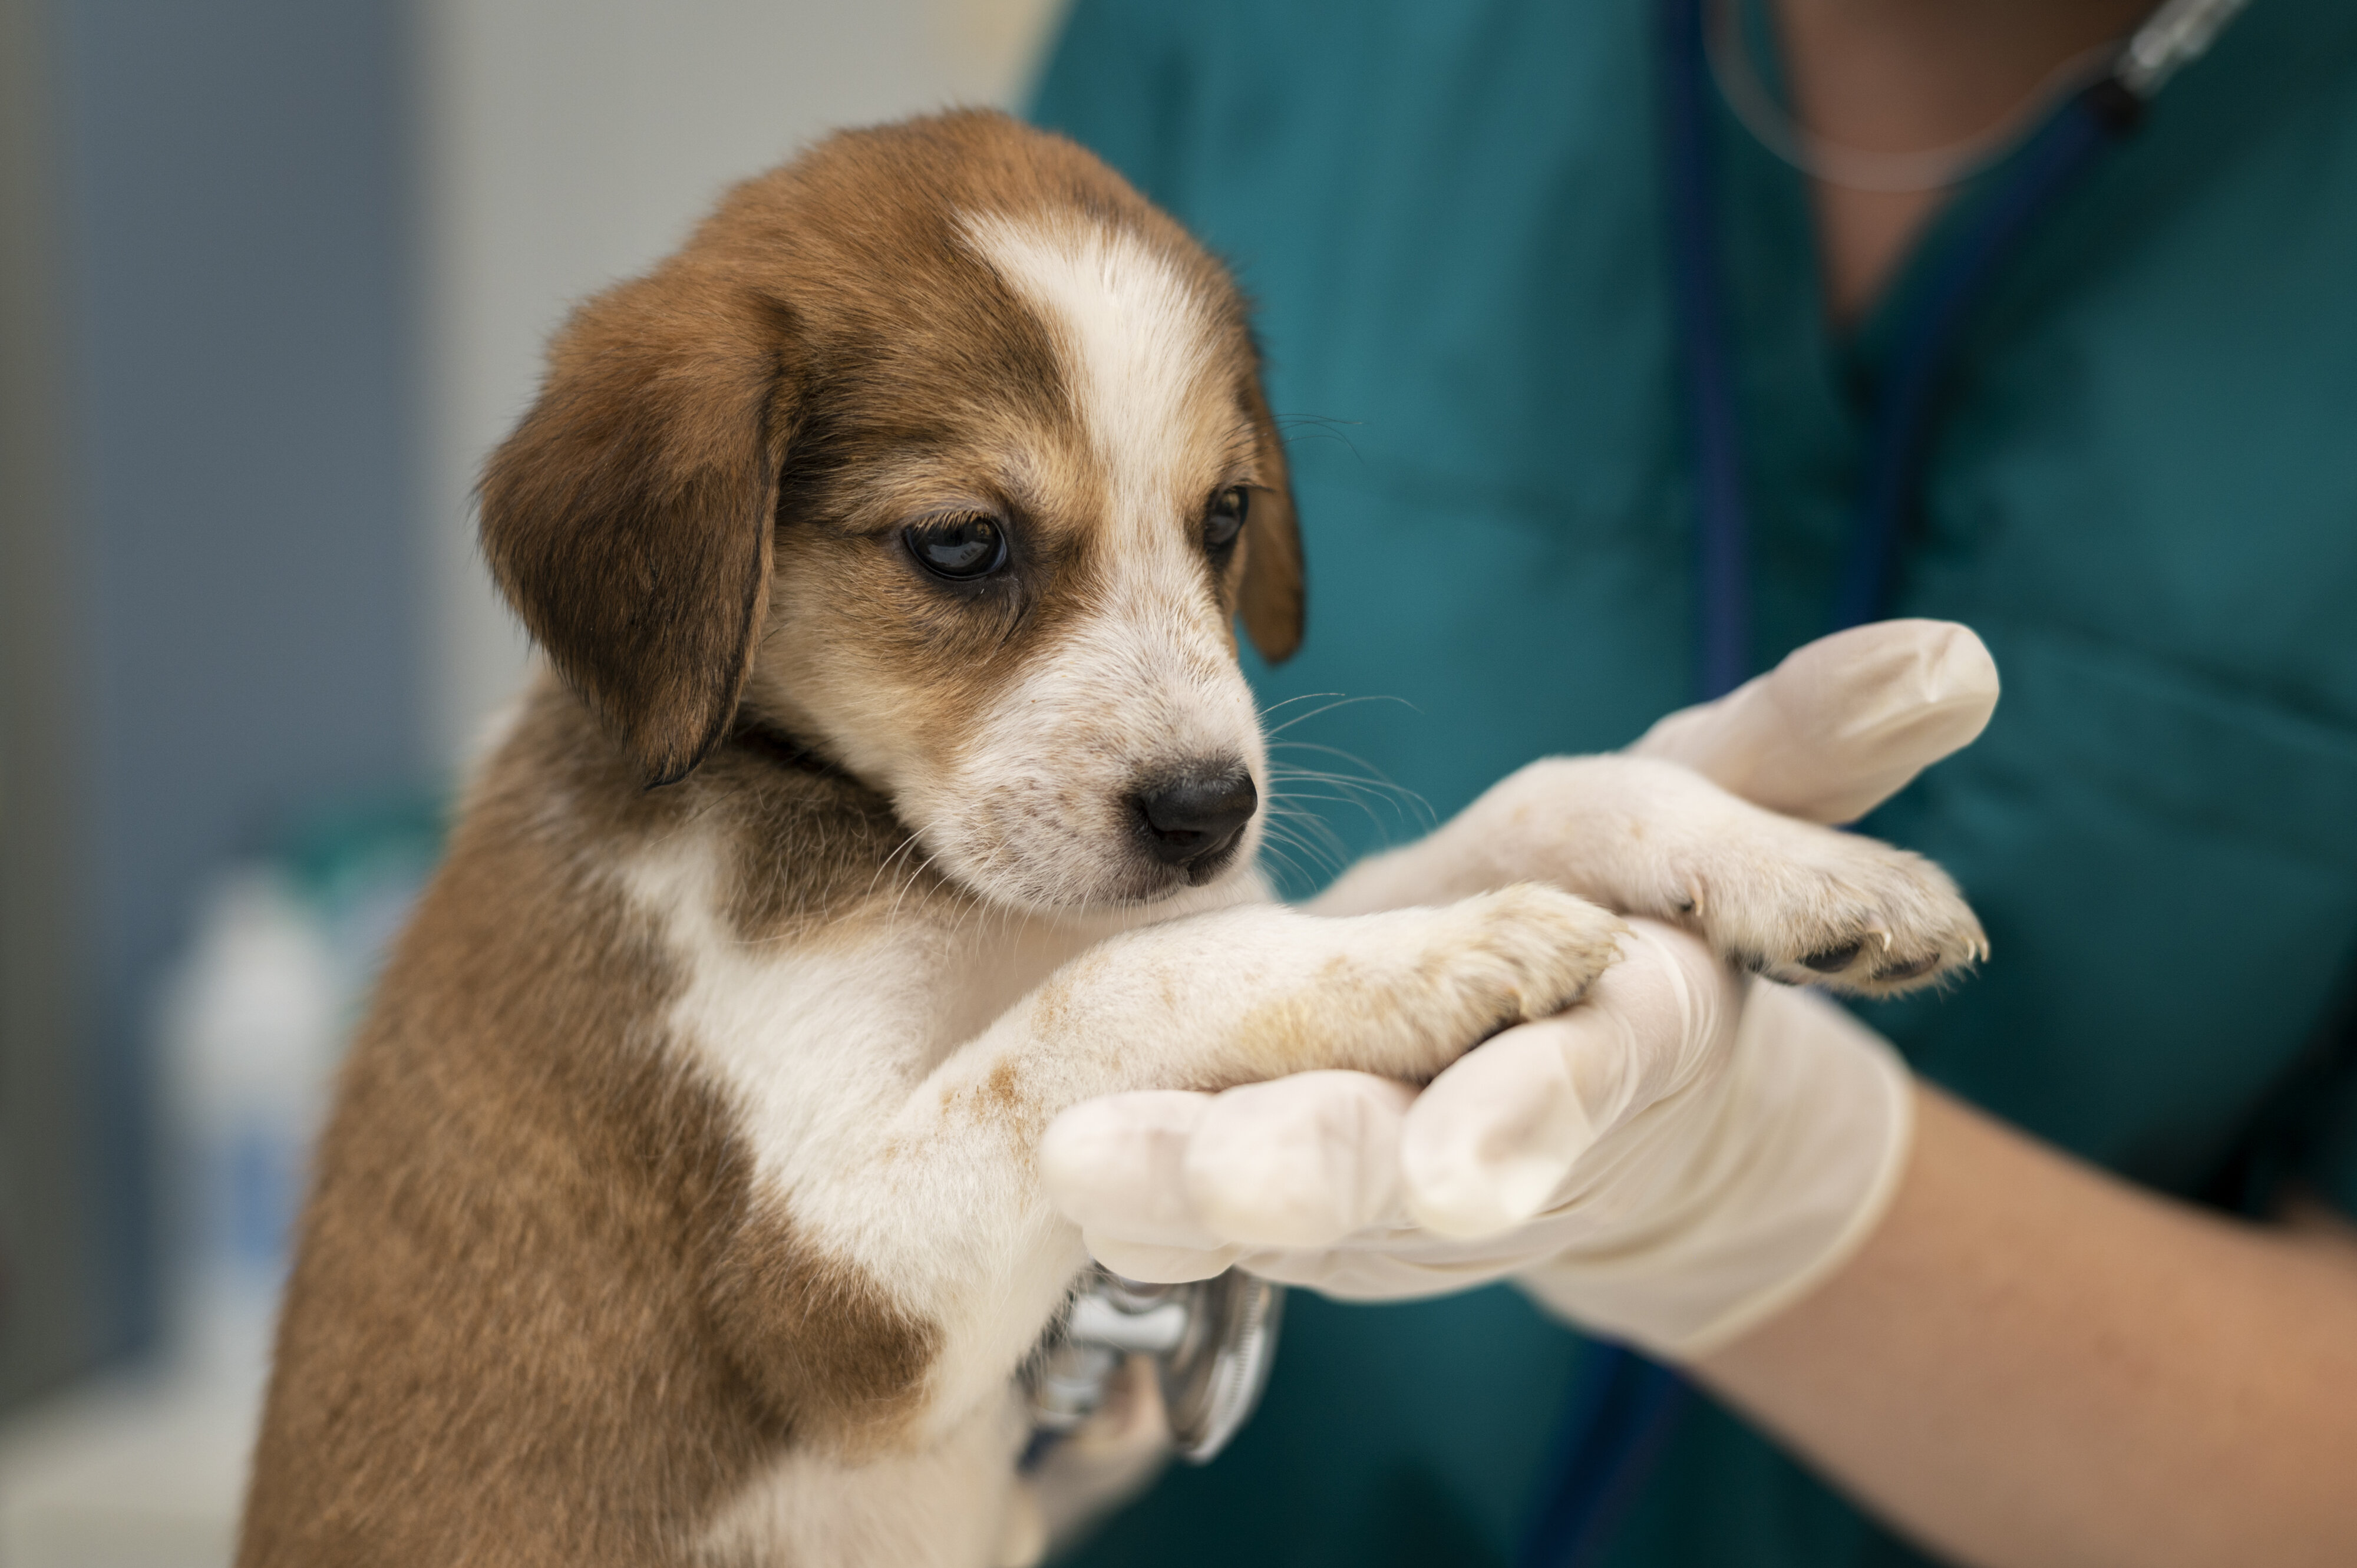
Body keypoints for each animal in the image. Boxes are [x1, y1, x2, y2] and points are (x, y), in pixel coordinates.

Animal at [239, 113, 1980, 1565]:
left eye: (1224, 516)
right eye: (960, 544)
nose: (1211, 814)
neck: (919, 860)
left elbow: (1534, 798)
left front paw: (1799, 861)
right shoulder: (821, 1278)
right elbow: (1116, 995)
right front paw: (1430, 957)